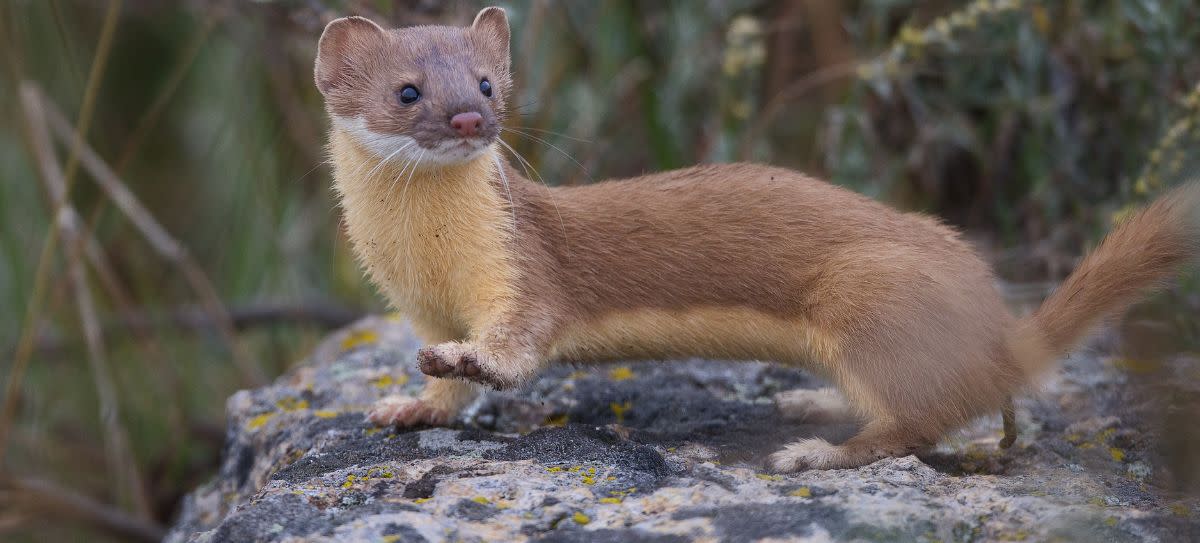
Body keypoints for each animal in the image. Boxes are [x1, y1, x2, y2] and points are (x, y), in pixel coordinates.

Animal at [316, 7, 1200, 470]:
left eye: (490, 82)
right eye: (408, 91)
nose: (471, 118)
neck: (426, 260)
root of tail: (996, 330)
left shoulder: (520, 270)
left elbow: (515, 343)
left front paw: (467, 359)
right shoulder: (420, 304)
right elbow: (445, 394)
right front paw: (407, 404)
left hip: (868, 291)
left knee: (915, 423)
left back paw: (816, 449)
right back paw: (813, 398)